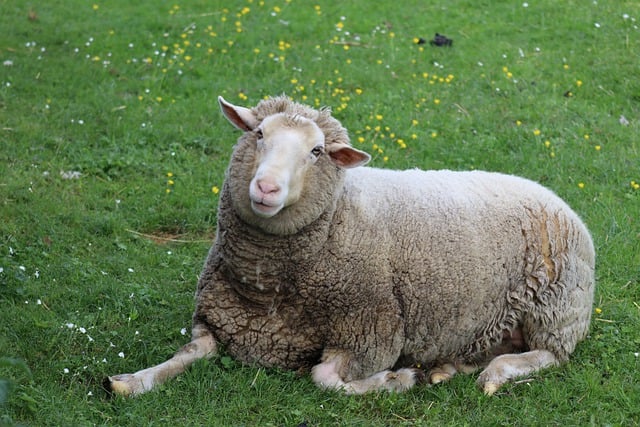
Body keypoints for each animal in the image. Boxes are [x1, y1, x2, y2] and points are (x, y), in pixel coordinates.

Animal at [106, 95, 596, 396]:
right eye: (259, 134)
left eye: (317, 151)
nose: (265, 188)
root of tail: (555, 197)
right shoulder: (216, 321)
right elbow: (188, 353)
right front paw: (132, 381)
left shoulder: (372, 331)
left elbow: (324, 377)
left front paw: (397, 380)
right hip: (490, 324)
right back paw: (448, 368)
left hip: (557, 311)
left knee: (548, 356)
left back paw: (491, 375)